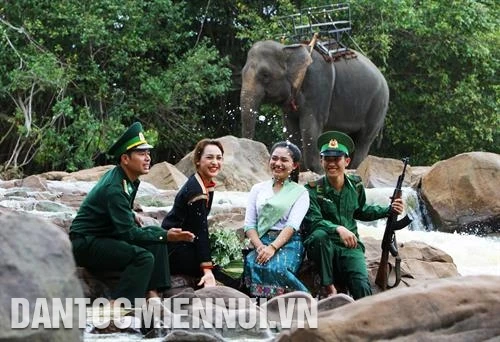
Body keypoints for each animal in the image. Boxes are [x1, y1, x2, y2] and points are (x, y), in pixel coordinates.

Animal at [240, 40, 388, 172]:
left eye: (265, 75)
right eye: (242, 73)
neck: (288, 49)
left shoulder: (318, 87)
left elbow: (310, 126)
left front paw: (318, 171)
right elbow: (291, 128)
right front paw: (301, 169)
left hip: (378, 106)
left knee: (363, 139)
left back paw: (353, 169)